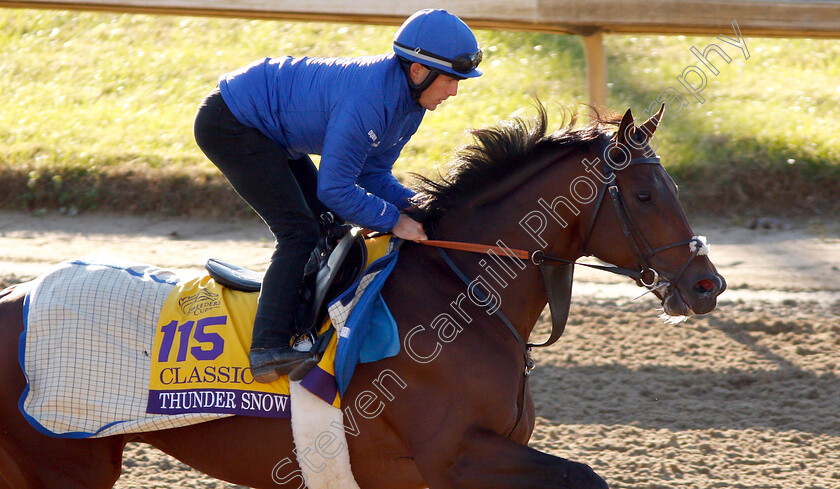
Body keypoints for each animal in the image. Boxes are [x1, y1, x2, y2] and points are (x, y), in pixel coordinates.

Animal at [0, 104, 720, 488]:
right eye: (646, 194)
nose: (707, 283)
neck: (461, 296)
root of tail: (16, 297)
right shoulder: (456, 455)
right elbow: (586, 474)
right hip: (65, 458)